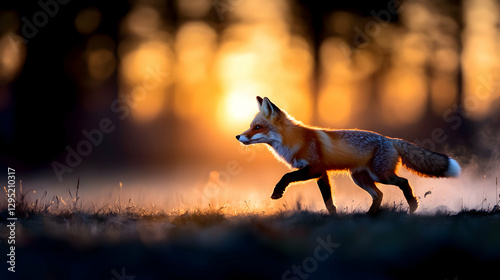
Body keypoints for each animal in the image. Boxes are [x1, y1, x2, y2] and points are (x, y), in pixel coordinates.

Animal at [235, 96, 460, 214]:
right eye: (251, 126)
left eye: (257, 127)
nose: (237, 136)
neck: (294, 141)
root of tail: (390, 139)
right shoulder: (321, 174)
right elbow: (328, 200)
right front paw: (333, 216)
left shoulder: (314, 168)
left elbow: (286, 176)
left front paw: (277, 192)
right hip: (360, 178)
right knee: (379, 195)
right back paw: (369, 216)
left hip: (381, 175)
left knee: (403, 182)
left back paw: (413, 207)